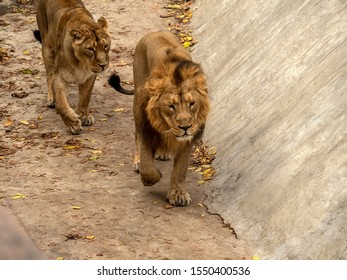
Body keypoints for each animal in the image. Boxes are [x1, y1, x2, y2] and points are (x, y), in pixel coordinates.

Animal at [34, 0, 111, 135]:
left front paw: (84, 116)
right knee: (48, 75)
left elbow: (85, 98)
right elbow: (61, 104)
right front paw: (73, 124)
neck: (82, 64)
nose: (103, 65)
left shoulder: (90, 76)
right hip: (47, 50)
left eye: (106, 46)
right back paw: (51, 98)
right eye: (90, 49)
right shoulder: (59, 77)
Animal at [109, 31, 211, 206]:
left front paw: (178, 195)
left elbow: (180, 170)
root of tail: (155, 32)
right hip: (138, 98)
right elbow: (147, 166)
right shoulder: (147, 126)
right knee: (136, 135)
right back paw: (138, 161)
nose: (185, 127)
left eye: (192, 103)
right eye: (171, 106)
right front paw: (150, 178)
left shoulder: (188, 141)